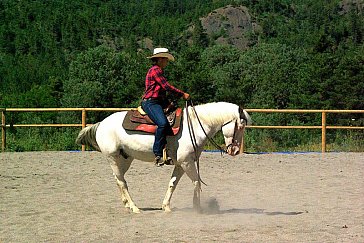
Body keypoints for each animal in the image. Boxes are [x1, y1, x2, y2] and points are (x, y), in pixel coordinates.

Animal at [75, 102, 252, 213]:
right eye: (240, 125)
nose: (235, 150)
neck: (195, 125)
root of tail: (101, 124)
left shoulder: (181, 164)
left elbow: (172, 184)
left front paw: (166, 206)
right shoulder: (187, 162)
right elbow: (196, 182)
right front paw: (197, 208)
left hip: (124, 158)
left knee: (118, 179)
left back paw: (127, 204)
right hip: (113, 158)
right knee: (122, 182)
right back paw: (134, 208)